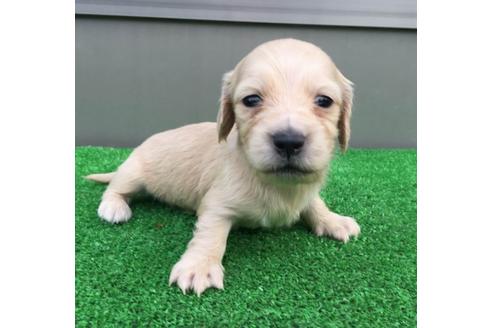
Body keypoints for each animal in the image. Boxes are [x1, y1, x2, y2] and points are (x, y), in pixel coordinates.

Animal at [86, 37, 360, 294]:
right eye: (251, 99)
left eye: (324, 101)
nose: (289, 141)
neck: (278, 184)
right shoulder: (217, 204)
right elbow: (211, 234)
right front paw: (199, 266)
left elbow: (314, 203)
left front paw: (332, 220)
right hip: (134, 170)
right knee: (116, 188)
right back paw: (113, 207)